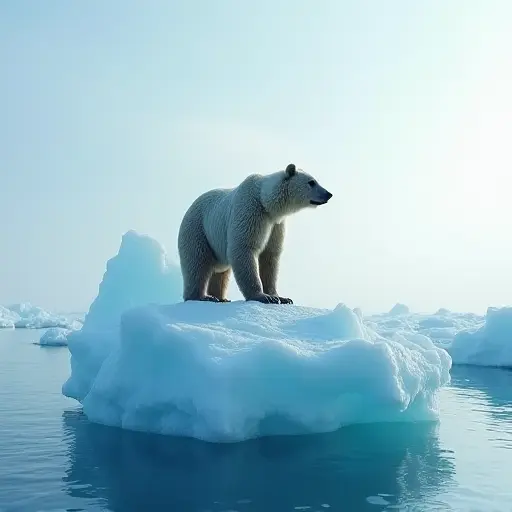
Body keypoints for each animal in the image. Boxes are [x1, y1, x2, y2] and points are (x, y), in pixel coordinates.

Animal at [178, 163, 334, 304]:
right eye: (311, 182)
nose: (329, 194)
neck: (265, 201)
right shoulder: (251, 211)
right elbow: (244, 248)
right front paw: (263, 297)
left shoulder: (275, 225)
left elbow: (270, 256)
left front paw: (281, 297)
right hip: (197, 230)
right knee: (197, 262)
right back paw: (202, 297)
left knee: (221, 273)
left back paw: (221, 297)